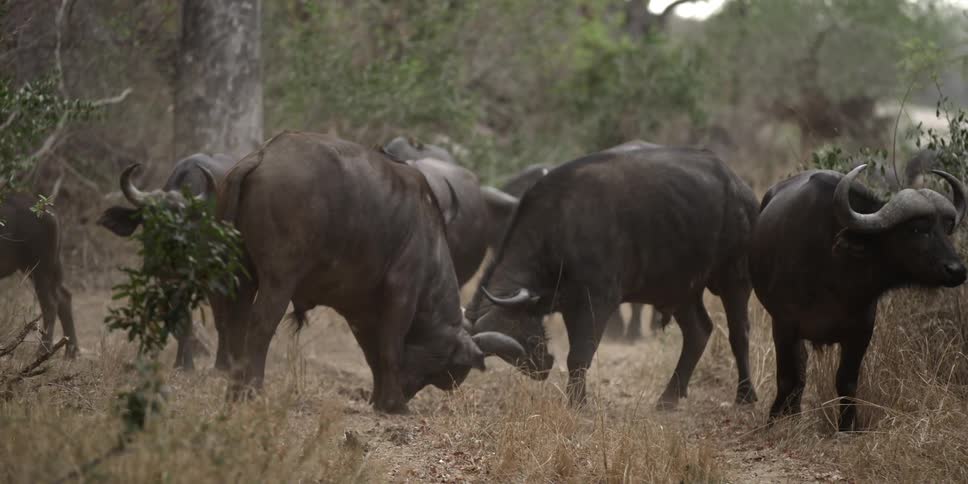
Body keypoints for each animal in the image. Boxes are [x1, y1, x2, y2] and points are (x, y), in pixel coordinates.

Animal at [0, 194, 78, 357]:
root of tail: (50, 209)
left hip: (40, 267)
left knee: (50, 304)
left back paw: (43, 351)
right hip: (41, 266)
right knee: (64, 297)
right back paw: (71, 352)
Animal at [99, 152, 233, 370]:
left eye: (179, 220)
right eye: (147, 219)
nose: (157, 260)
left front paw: (188, 367)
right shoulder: (165, 280)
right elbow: (177, 321)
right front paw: (181, 363)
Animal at [212, 131, 523, 412]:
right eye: (446, 370)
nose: (407, 391)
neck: (430, 241)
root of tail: (262, 156)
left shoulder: (359, 309)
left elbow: (372, 353)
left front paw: (378, 398)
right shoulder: (401, 293)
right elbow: (390, 349)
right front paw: (393, 404)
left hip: (241, 276)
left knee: (235, 321)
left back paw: (233, 388)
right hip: (279, 281)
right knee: (260, 326)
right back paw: (252, 390)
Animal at [467, 146, 759, 408]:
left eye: (517, 327)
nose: (540, 368)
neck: (560, 227)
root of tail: (742, 190)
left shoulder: (598, 301)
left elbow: (579, 355)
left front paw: (577, 403)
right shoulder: (570, 305)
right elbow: (576, 355)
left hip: (734, 277)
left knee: (739, 332)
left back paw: (745, 396)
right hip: (680, 289)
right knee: (698, 332)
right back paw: (668, 398)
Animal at [751, 165, 967, 431]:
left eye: (946, 228)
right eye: (917, 229)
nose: (956, 270)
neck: (833, 268)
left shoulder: (861, 330)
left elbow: (846, 381)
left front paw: (847, 426)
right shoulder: (783, 324)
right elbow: (786, 378)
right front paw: (772, 421)